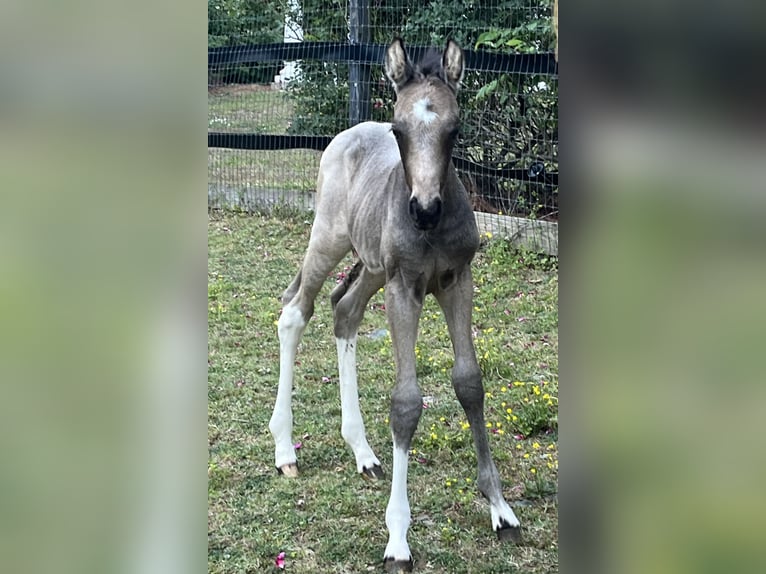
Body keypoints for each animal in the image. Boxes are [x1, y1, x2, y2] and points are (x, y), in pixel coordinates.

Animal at [269, 38, 521, 572]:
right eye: (399, 131)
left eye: (454, 129)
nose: (423, 210)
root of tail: (347, 133)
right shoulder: (405, 287)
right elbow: (405, 402)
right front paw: (398, 538)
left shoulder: (457, 281)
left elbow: (470, 383)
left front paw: (500, 508)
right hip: (331, 239)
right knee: (296, 309)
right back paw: (284, 450)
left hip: (372, 267)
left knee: (345, 312)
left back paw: (362, 451)